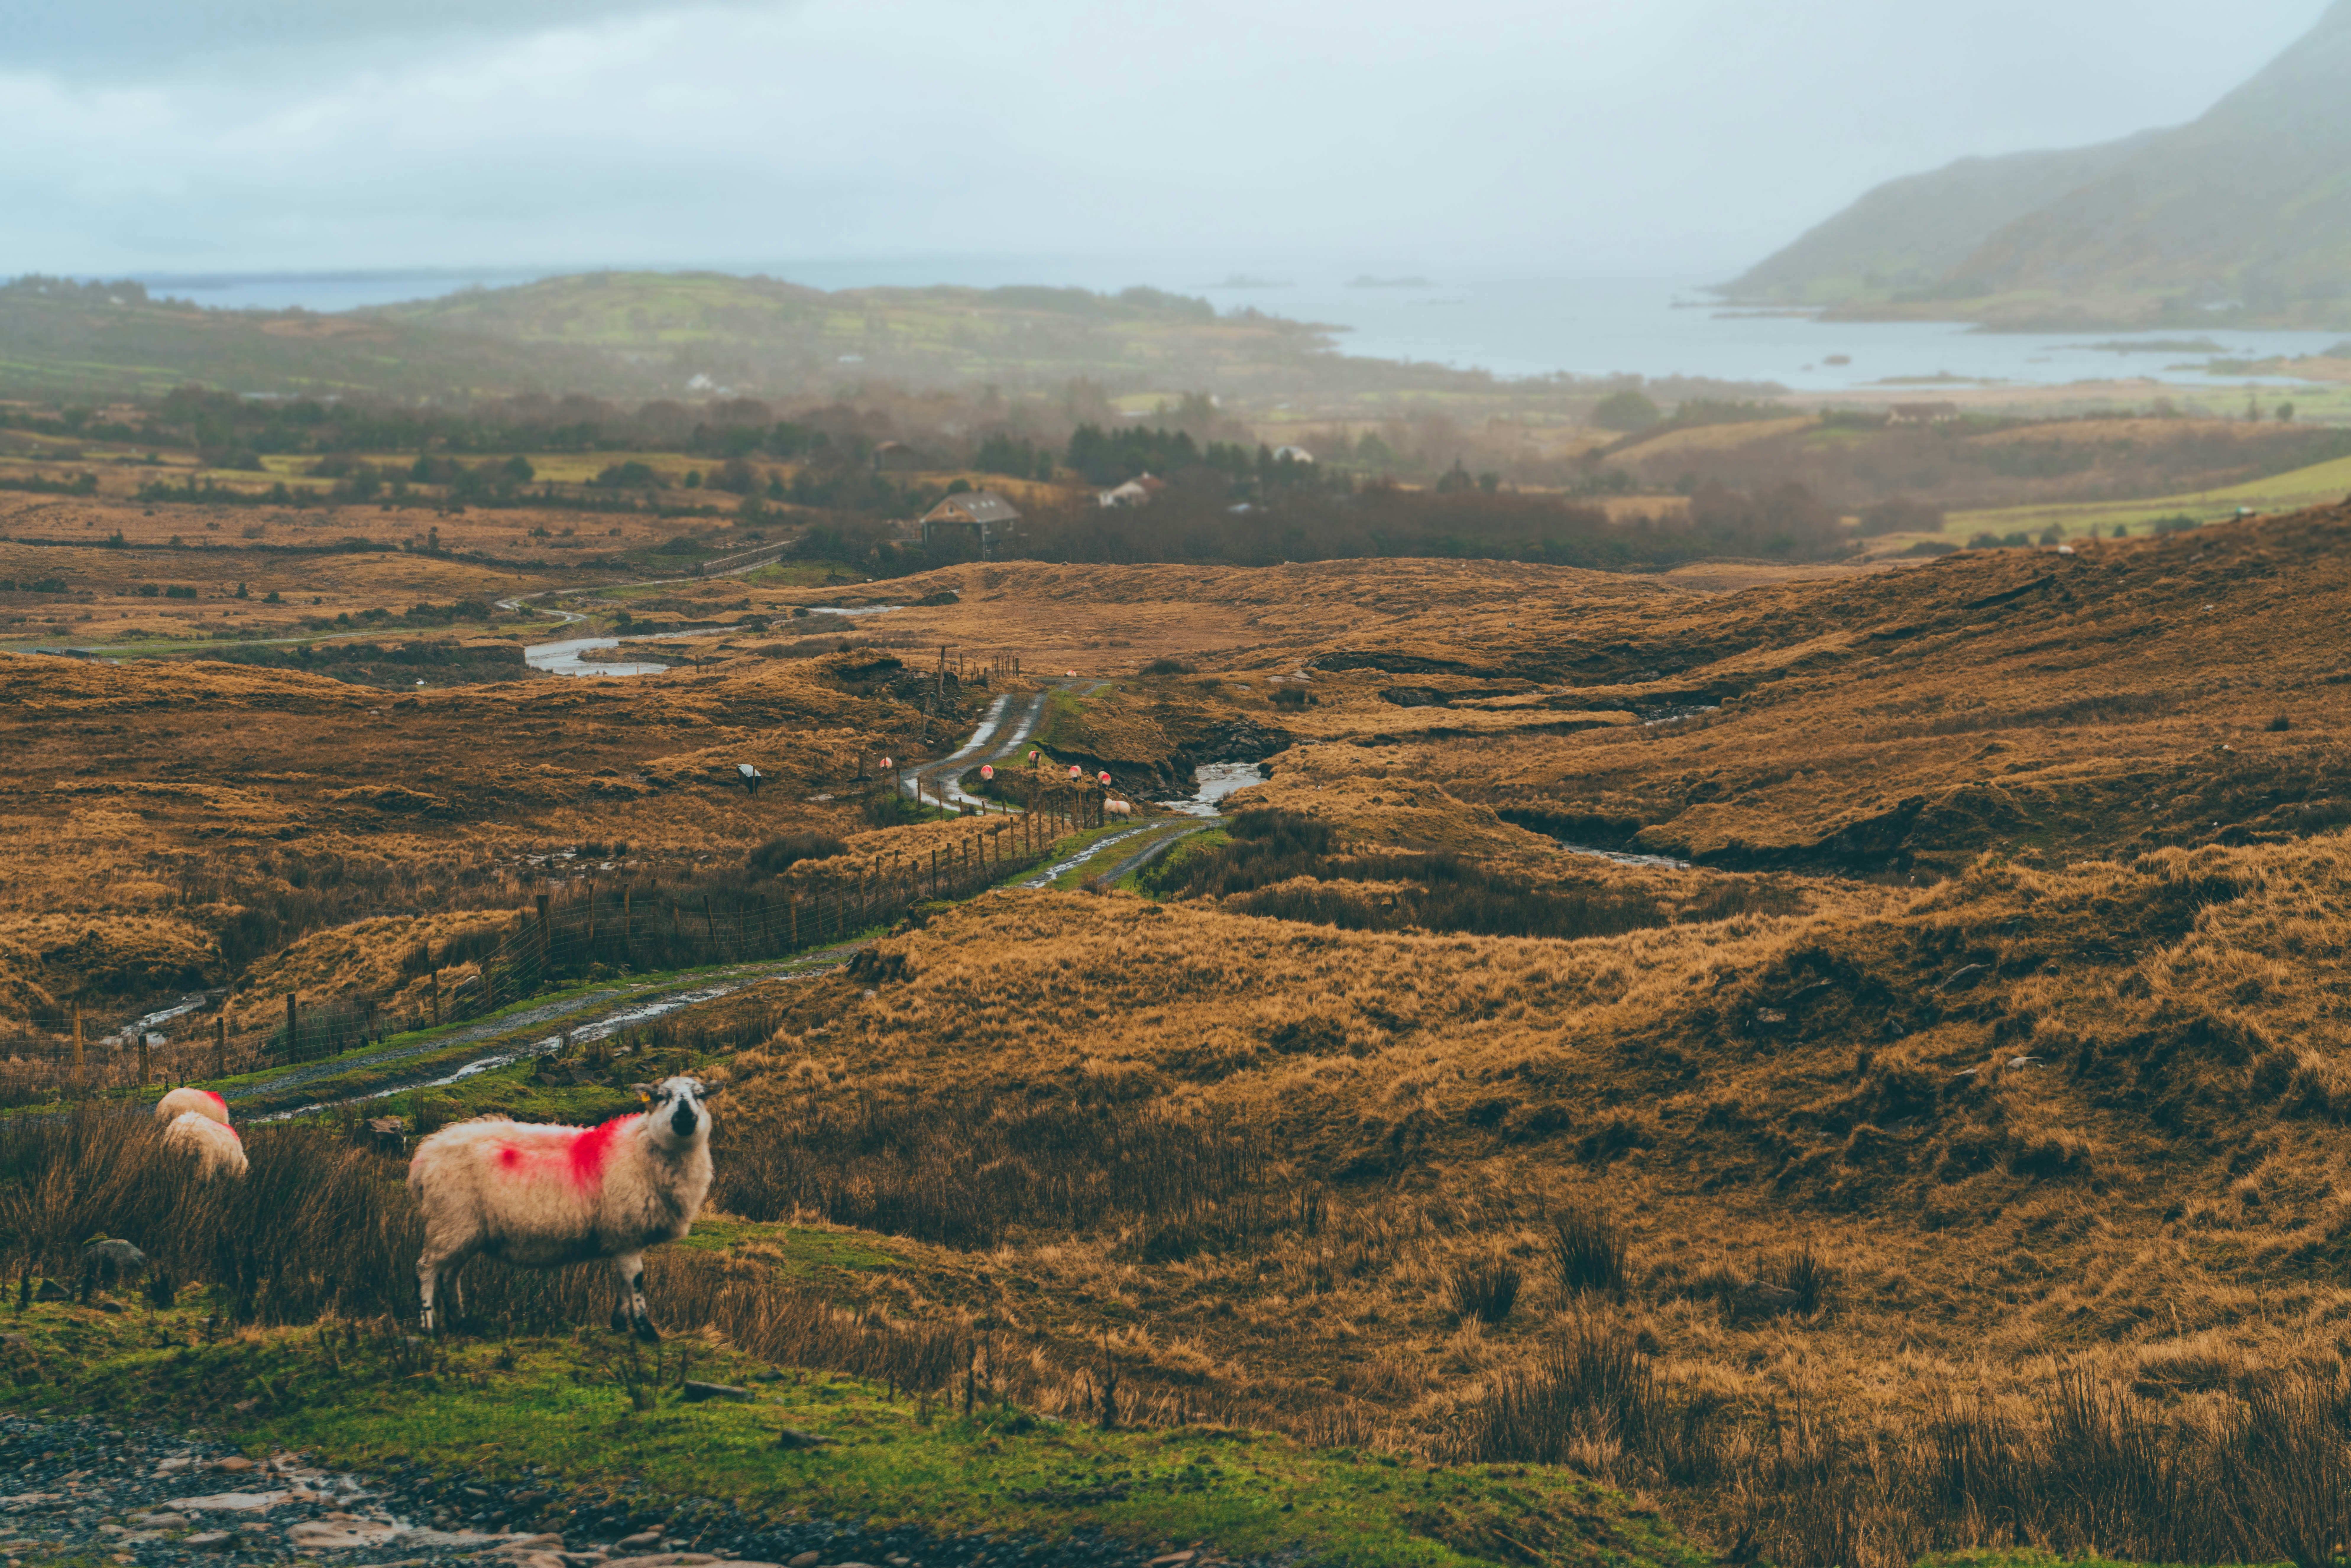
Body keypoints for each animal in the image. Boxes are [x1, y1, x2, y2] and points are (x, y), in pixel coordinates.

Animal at [407, 1076, 712, 1339]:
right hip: (450, 1219)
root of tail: (424, 1156)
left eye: (701, 1095)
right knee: (426, 1269)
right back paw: (428, 1325)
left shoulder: (623, 1236)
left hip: (464, 1228)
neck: (641, 1149)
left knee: (451, 1274)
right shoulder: (625, 1230)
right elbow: (635, 1280)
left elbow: (624, 1281)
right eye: (662, 1097)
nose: (685, 1118)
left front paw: (620, 1323)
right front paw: (646, 1331)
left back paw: (461, 1322)